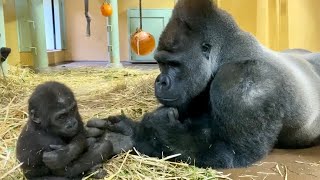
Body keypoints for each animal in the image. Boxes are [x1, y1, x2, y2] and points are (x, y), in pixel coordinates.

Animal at [86, 0, 320, 169]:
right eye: (161, 63)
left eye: (173, 64)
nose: (160, 80)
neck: (226, 55)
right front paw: (125, 134)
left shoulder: (246, 80)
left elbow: (228, 151)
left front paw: (140, 131)